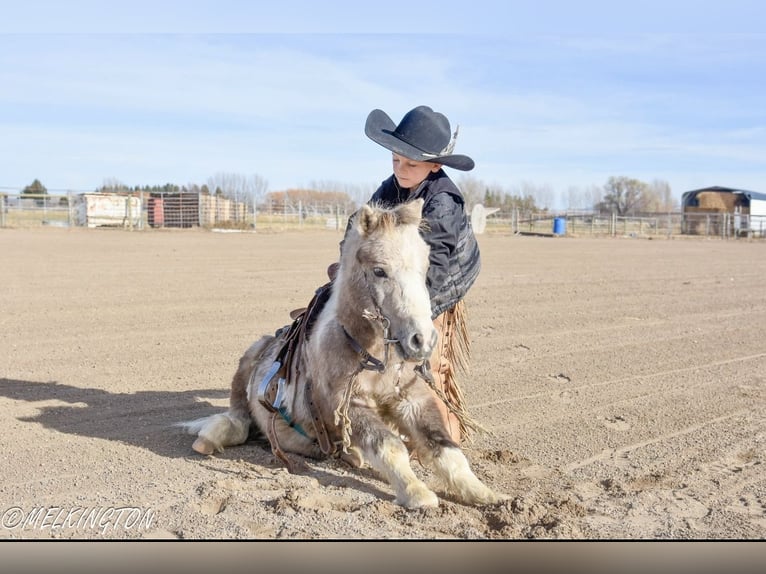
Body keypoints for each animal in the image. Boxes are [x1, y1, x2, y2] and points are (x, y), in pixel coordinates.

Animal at [177, 200, 508, 510]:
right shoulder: (347, 406)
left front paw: (487, 494)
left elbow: (446, 448)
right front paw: (417, 494)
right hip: (244, 372)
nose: (422, 341)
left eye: (425, 269)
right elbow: (390, 446)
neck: (373, 360)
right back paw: (209, 439)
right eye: (379, 270)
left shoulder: (413, 399)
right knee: (237, 420)